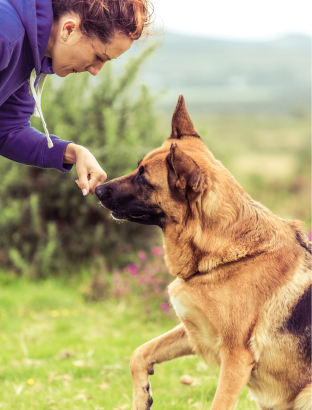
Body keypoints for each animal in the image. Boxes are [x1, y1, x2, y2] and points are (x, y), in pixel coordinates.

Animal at [94, 97, 312, 410]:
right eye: (138, 168)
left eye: (144, 178)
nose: (97, 189)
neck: (221, 254)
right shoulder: (194, 331)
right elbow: (140, 353)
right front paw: (141, 395)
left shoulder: (236, 358)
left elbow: (219, 403)